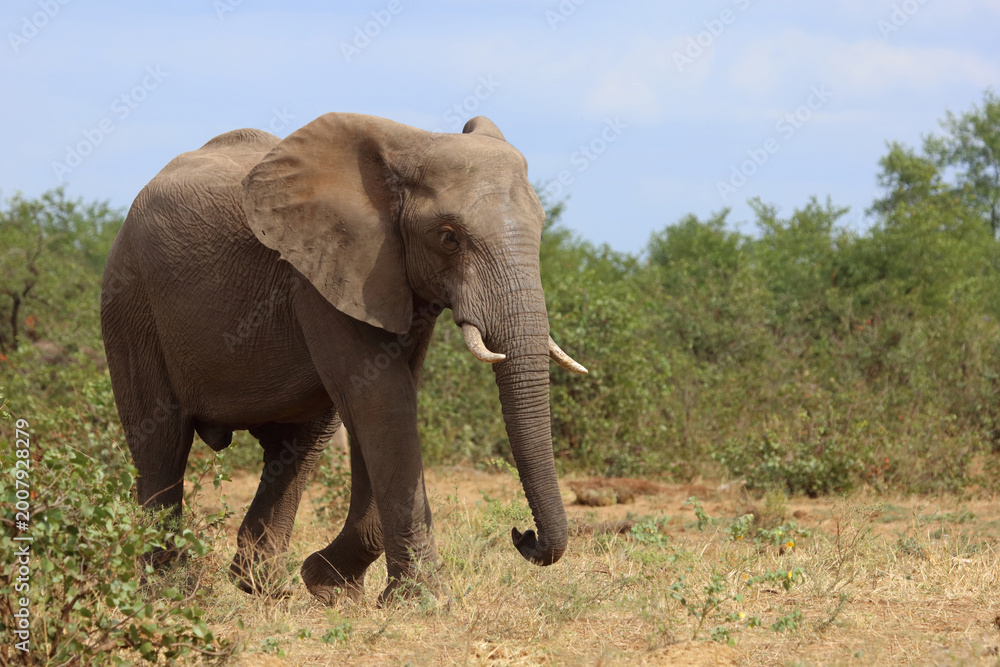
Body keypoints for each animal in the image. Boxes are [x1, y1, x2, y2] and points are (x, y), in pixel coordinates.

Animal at [100, 112, 587, 605]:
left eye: (541, 228)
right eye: (449, 237)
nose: (523, 535)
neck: (410, 147)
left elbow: (385, 401)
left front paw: (331, 587)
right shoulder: (323, 275)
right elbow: (381, 402)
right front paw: (422, 601)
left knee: (299, 444)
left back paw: (260, 584)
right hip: (131, 305)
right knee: (161, 443)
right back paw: (168, 589)